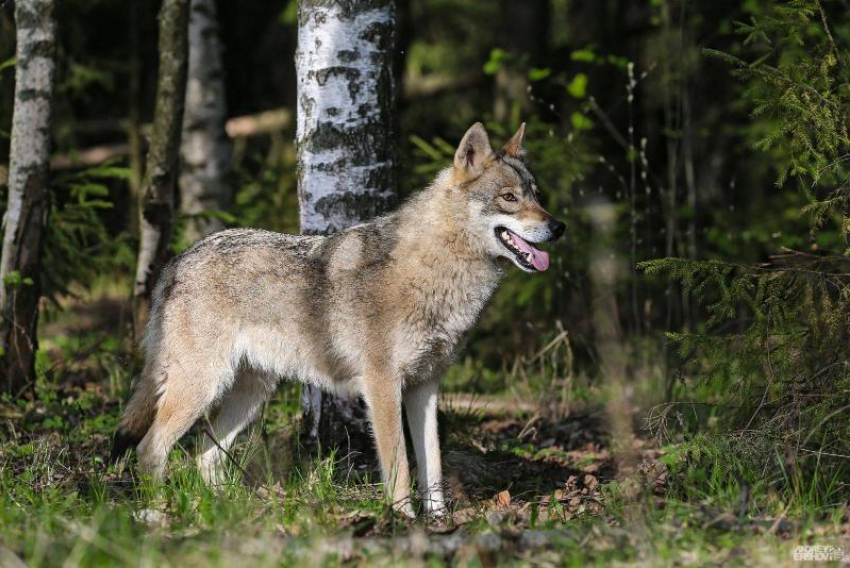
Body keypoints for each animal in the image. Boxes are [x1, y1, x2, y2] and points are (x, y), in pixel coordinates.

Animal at [112, 122, 564, 516]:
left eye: (536, 194)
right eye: (509, 197)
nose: (558, 226)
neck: (435, 268)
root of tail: (176, 262)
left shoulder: (425, 388)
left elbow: (431, 466)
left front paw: (438, 522)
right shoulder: (382, 386)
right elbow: (399, 468)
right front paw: (403, 522)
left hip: (249, 395)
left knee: (204, 455)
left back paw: (227, 515)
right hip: (202, 387)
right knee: (151, 449)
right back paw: (157, 514)